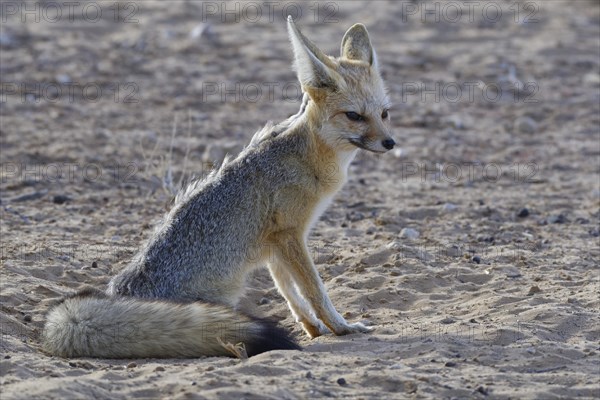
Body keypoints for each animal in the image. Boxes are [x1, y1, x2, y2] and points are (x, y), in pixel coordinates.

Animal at [43, 16, 398, 360]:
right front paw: (341, 327)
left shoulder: (276, 242)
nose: (390, 143)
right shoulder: (289, 235)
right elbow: (314, 290)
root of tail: (118, 294)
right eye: (354, 116)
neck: (307, 155)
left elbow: (289, 293)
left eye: (384, 113)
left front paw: (314, 329)